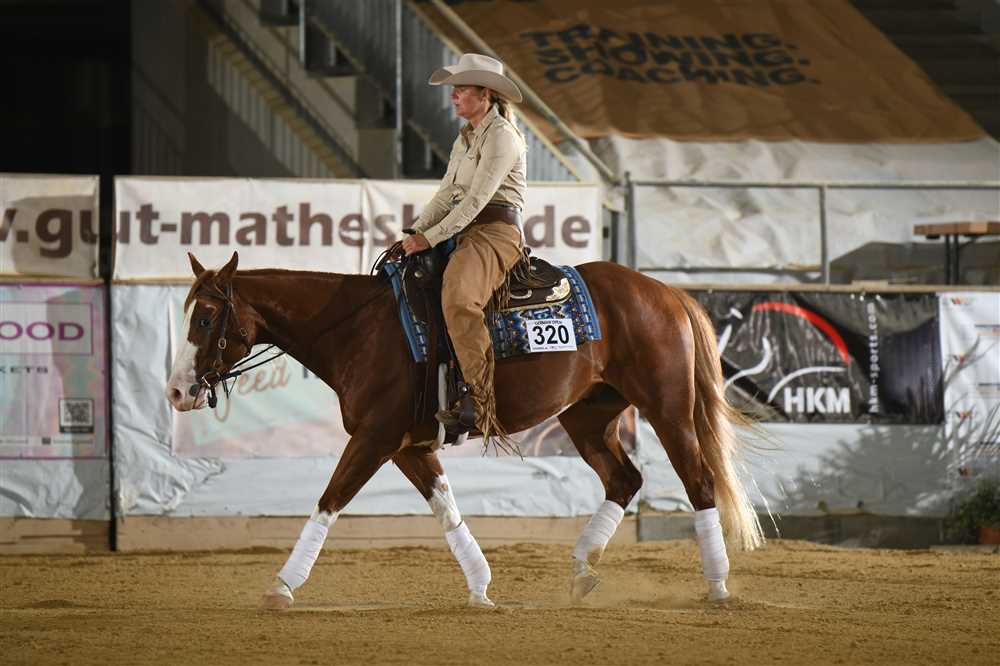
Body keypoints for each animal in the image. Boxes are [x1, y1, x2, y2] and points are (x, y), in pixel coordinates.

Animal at [165, 250, 764, 609]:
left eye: (205, 318)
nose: (176, 391)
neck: (358, 330)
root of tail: (667, 292)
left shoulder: (373, 439)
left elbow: (328, 501)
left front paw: (282, 585)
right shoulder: (406, 446)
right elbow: (446, 509)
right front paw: (480, 587)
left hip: (668, 409)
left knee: (700, 483)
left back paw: (717, 586)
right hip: (587, 415)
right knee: (625, 480)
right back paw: (580, 571)